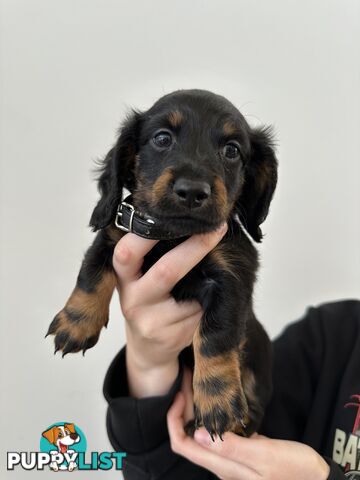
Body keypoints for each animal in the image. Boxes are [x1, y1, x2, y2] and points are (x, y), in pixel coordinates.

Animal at [47, 90, 278, 438]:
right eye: (162, 138)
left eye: (232, 150)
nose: (192, 191)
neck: (173, 236)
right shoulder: (114, 236)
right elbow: (91, 273)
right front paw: (76, 324)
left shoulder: (231, 277)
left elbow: (216, 335)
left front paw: (217, 401)